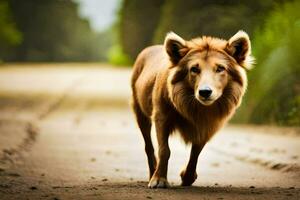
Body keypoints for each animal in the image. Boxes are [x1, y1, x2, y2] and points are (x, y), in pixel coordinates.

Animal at [131, 30, 253, 188]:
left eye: (220, 68)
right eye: (194, 69)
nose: (205, 92)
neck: (197, 108)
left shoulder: (208, 125)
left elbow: (196, 151)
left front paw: (188, 177)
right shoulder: (161, 117)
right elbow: (164, 150)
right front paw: (159, 179)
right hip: (140, 112)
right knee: (149, 147)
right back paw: (152, 172)